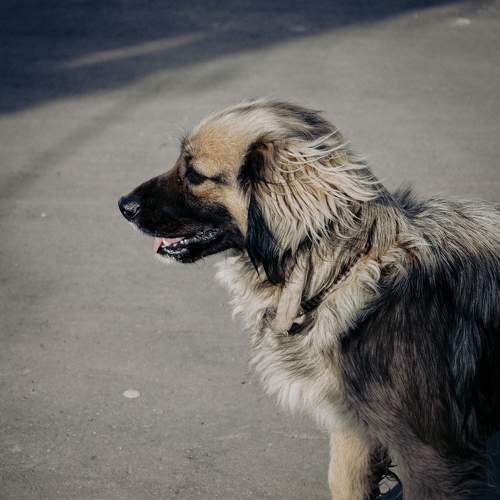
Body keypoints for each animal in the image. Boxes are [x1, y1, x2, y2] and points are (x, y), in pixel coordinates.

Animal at [118, 99, 500, 499]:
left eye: (194, 175)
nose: (123, 205)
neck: (345, 273)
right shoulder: (353, 428)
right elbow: (343, 482)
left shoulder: (432, 456)